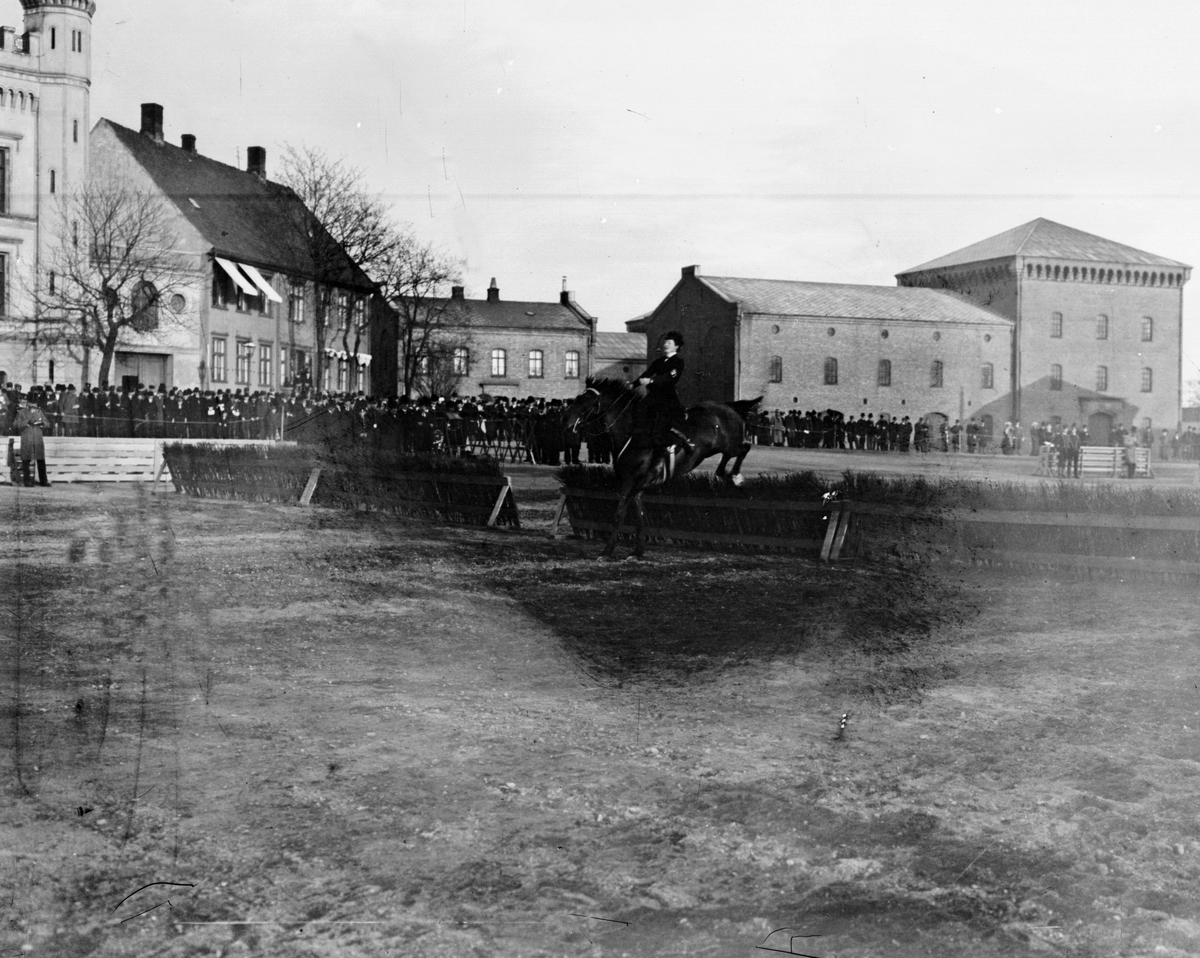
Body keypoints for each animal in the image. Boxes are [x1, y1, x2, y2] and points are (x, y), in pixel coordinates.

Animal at [561, 376, 758, 559]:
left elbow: (620, 513)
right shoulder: (631, 483)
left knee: (745, 448)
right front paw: (638, 551)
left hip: (730, 443)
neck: (633, 434)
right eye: (577, 398)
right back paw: (726, 474)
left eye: (587, 400)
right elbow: (638, 516)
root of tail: (729, 407)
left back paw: (736, 476)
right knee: (727, 460)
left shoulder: (638, 481)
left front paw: (607, 551)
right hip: (719, 448)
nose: (566, 421)